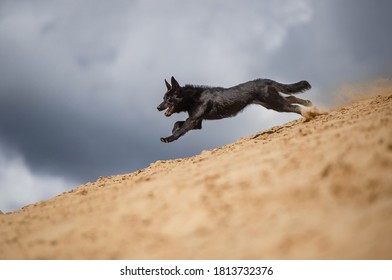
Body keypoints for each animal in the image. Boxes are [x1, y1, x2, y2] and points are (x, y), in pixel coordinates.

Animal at [158, 76, 316, 143]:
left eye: (168, 99)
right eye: (163, 98)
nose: (158, 107)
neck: (192, 98)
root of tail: (266, 80)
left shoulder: (193, 121)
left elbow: (180, 130)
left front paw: (168, 138)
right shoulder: (197, 123)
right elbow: (177, 124)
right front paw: (173, 129)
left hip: (275, 104)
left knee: (293, 106)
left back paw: (308, 113)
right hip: (272, 102)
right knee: (291, 98)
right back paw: (309, 105)